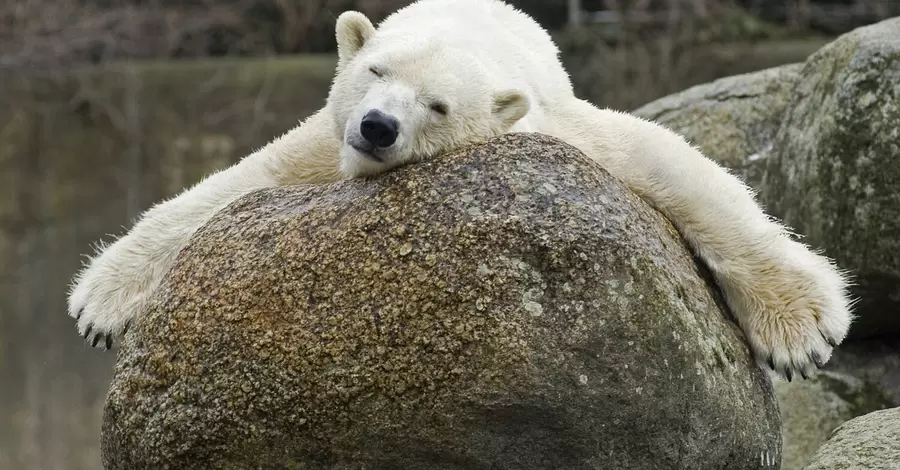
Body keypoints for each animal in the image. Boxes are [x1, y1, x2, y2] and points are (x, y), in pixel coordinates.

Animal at [68, 0, 852, 382]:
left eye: (438, 106)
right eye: (376, 71)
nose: (378, 127)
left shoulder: (549, 121)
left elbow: (670, 163)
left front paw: (804, 327)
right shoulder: (327, 134)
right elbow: (239, 183)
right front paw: (100, 300)